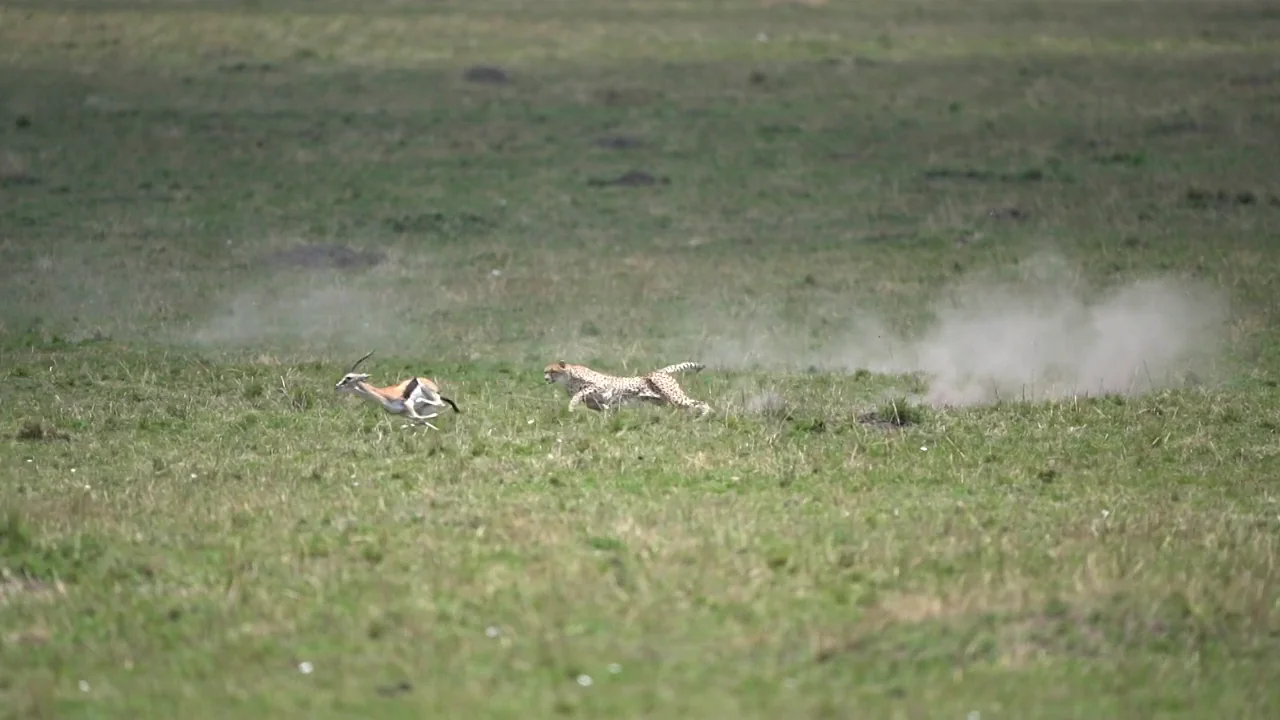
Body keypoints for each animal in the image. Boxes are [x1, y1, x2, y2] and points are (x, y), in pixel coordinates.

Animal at [543, 360, 712, 416]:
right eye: (545, 371)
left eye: (552, 371)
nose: (545, 379)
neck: (568, 377)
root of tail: (656, 372)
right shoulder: (594, 400)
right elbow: (595, 405)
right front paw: (607, 411)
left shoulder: (601, 386)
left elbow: (578, 394)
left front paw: (571, 407)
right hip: (662, 400)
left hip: (674, 396)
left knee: (701, 403)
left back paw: (706, 414)